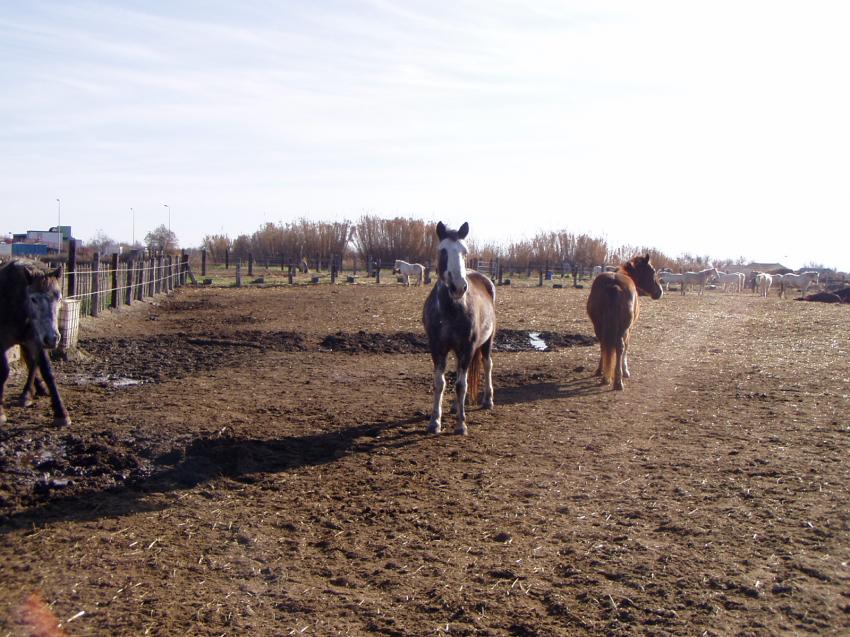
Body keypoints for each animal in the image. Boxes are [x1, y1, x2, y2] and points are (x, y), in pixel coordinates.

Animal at [0, 260, 71, 427]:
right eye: (33, 299)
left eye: (59, 298)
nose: (53, 338)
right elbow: (4, 371)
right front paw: (0, 412)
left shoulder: (37, 339)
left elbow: (47, 371)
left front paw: (61, 413)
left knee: (32, 363)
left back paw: (28, 394)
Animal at [422, 222, 496, 435]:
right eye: (442, 251)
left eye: (465, 252)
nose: (459, 287)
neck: (451, 310)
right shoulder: (437, 347)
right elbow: (440, 383)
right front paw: (434, 422)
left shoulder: (467, 347)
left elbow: (461, 385)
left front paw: (461, 424)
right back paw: (455, 406)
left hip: (487, 342)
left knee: (487, 364)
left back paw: (488, 400)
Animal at [587, 254, 663, 390]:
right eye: (653, 271)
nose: (660, 291)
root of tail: (614, 285)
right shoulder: (630, 329)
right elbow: (626, 347)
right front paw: (625, 371)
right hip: (623, 328)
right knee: (620, 346)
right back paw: (618, 381)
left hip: (598, 326)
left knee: (604, 344)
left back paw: (602, 373)